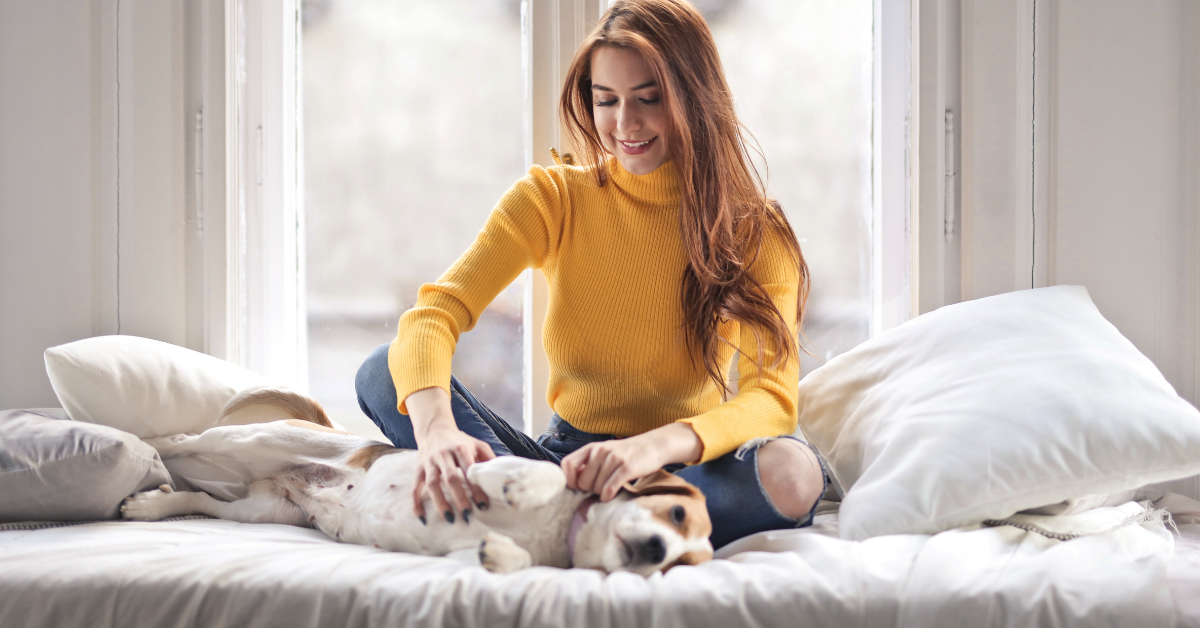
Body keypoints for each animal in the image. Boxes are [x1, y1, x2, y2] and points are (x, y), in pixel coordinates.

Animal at [121, 391, 710, 578]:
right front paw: (527, 488)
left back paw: (149, 506)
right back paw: (137, 442)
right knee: (182, 439)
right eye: (676, 515)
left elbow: (504, 557)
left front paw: (503, 554)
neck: (560, 529)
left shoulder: (457, 553)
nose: (656, 549)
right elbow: (541, 471)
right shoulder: (476, 466)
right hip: (252, 439)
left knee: (199, 498)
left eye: (678, 564)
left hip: (265, 510)